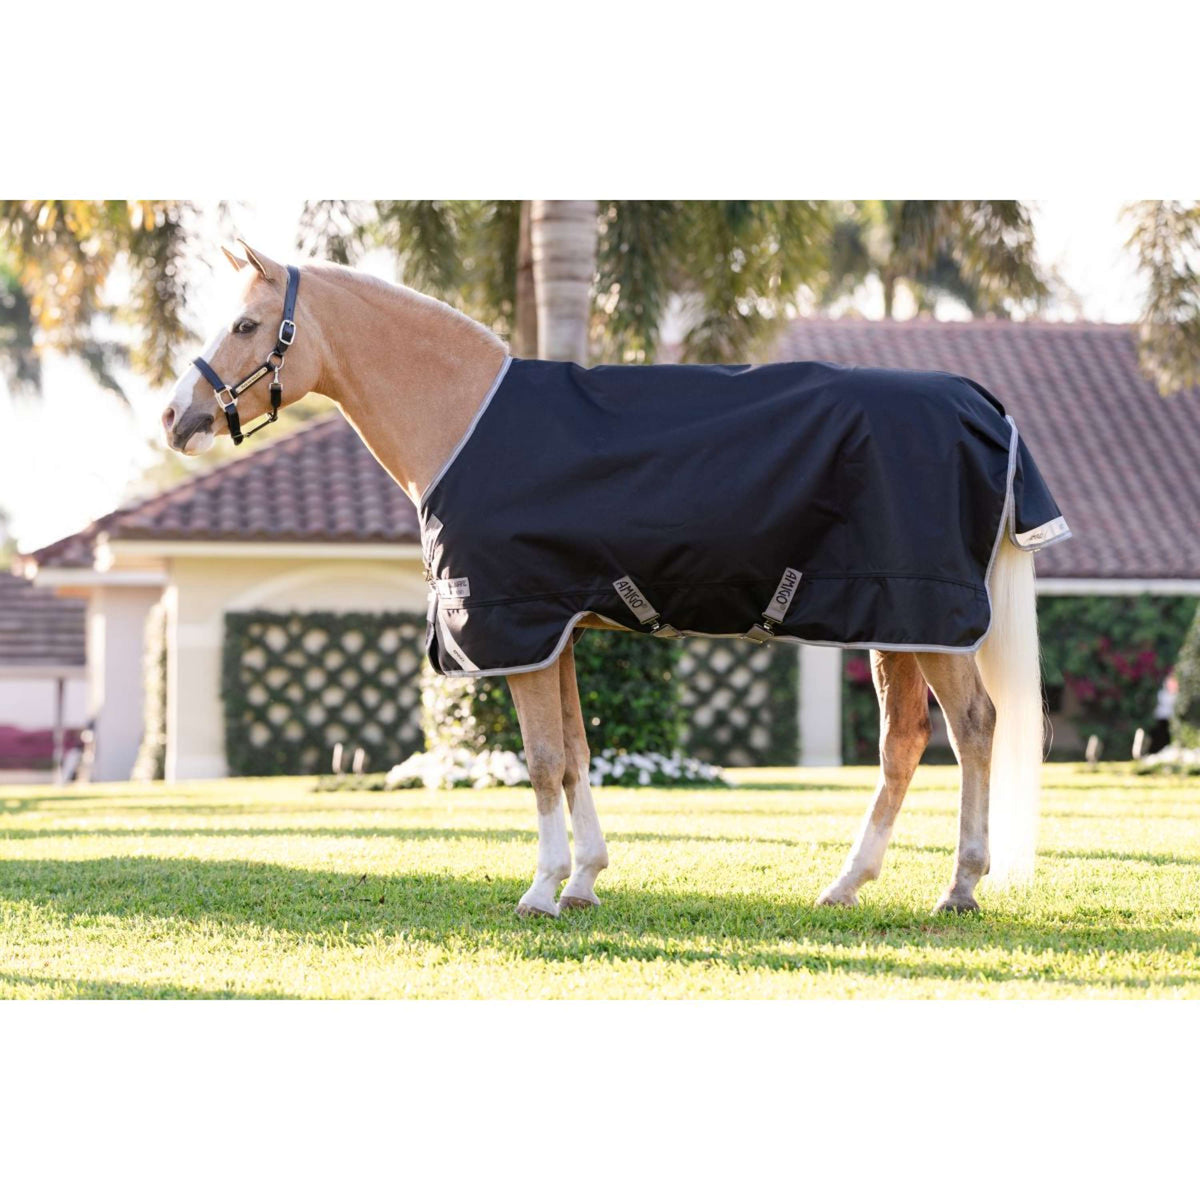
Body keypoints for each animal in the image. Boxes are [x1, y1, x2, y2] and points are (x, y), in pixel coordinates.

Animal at [163, 242, 1052, 918]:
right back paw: (846, 885)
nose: (175, 419)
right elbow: (578, 753)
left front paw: (542, 890)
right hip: (896, 620)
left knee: (974, 726)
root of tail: (982, 405)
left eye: (246, 325)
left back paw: (960, 888)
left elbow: (541, 759)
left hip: (929, 619)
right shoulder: (554, 631)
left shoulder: (518, 627)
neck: (463, 417)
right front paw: (585, 880)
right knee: (904, 743)